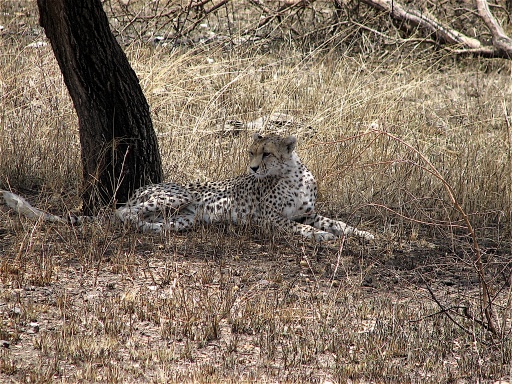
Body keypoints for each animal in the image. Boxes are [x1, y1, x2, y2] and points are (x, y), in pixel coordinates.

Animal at [2, 134, 374, 242]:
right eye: (251, 153)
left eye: (266, 153)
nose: (252, 168)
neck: (290, 175)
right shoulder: (269, 221)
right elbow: (302, 229)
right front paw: (323, 237)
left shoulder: (307, 213)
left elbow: (336, 222)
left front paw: (364, 234)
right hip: (175, 195)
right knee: (120, 216)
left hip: (188, 216)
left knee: (138, 220)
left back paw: (158, 231)